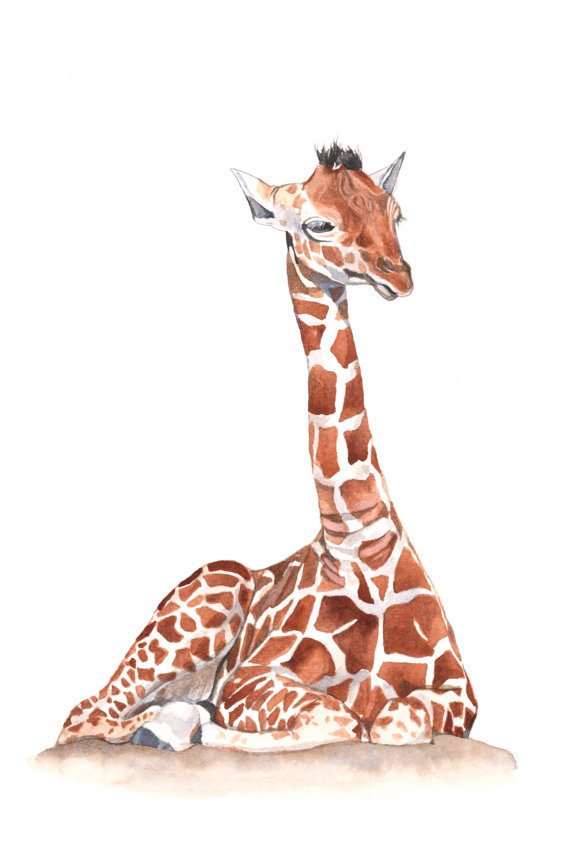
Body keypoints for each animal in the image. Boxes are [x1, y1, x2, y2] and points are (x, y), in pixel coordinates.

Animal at [57, 144, 477, 753]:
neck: (359, 544)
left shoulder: (458, 688)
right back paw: (166, 725)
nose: (397, 275)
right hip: (211, 594)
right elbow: (342, 720)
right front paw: (200, 726)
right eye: (317, 224)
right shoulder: (251, 679)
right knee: (84, 714)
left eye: (395, 213)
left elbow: (394, 722)